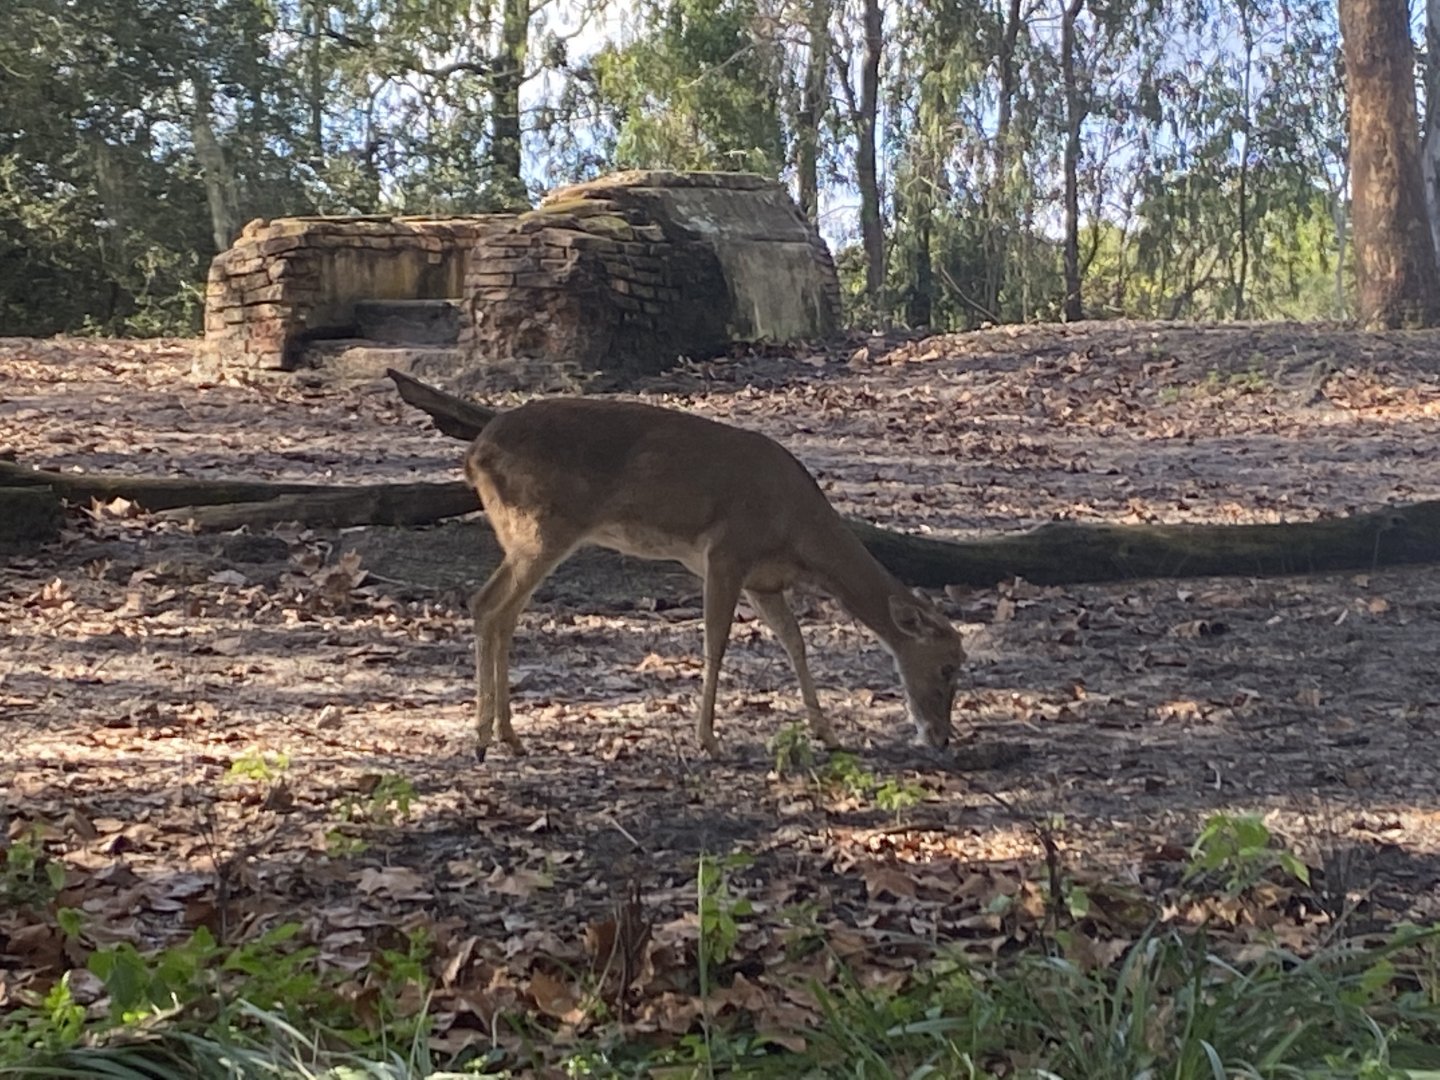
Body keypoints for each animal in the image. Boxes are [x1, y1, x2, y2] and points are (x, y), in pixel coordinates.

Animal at [462, 397, 964, 760]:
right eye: (947, 666)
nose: (941, 737)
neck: (797, 530)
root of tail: (474, 455)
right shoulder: (727, 552)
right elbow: (716, 643)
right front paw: (708, 740)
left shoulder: (764, 581)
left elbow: (795, 642)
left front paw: (827, 732)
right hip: (541, 525)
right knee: (485, 603)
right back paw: (484, 738)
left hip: (522, 532)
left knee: (502, 613)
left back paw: (509, 736)